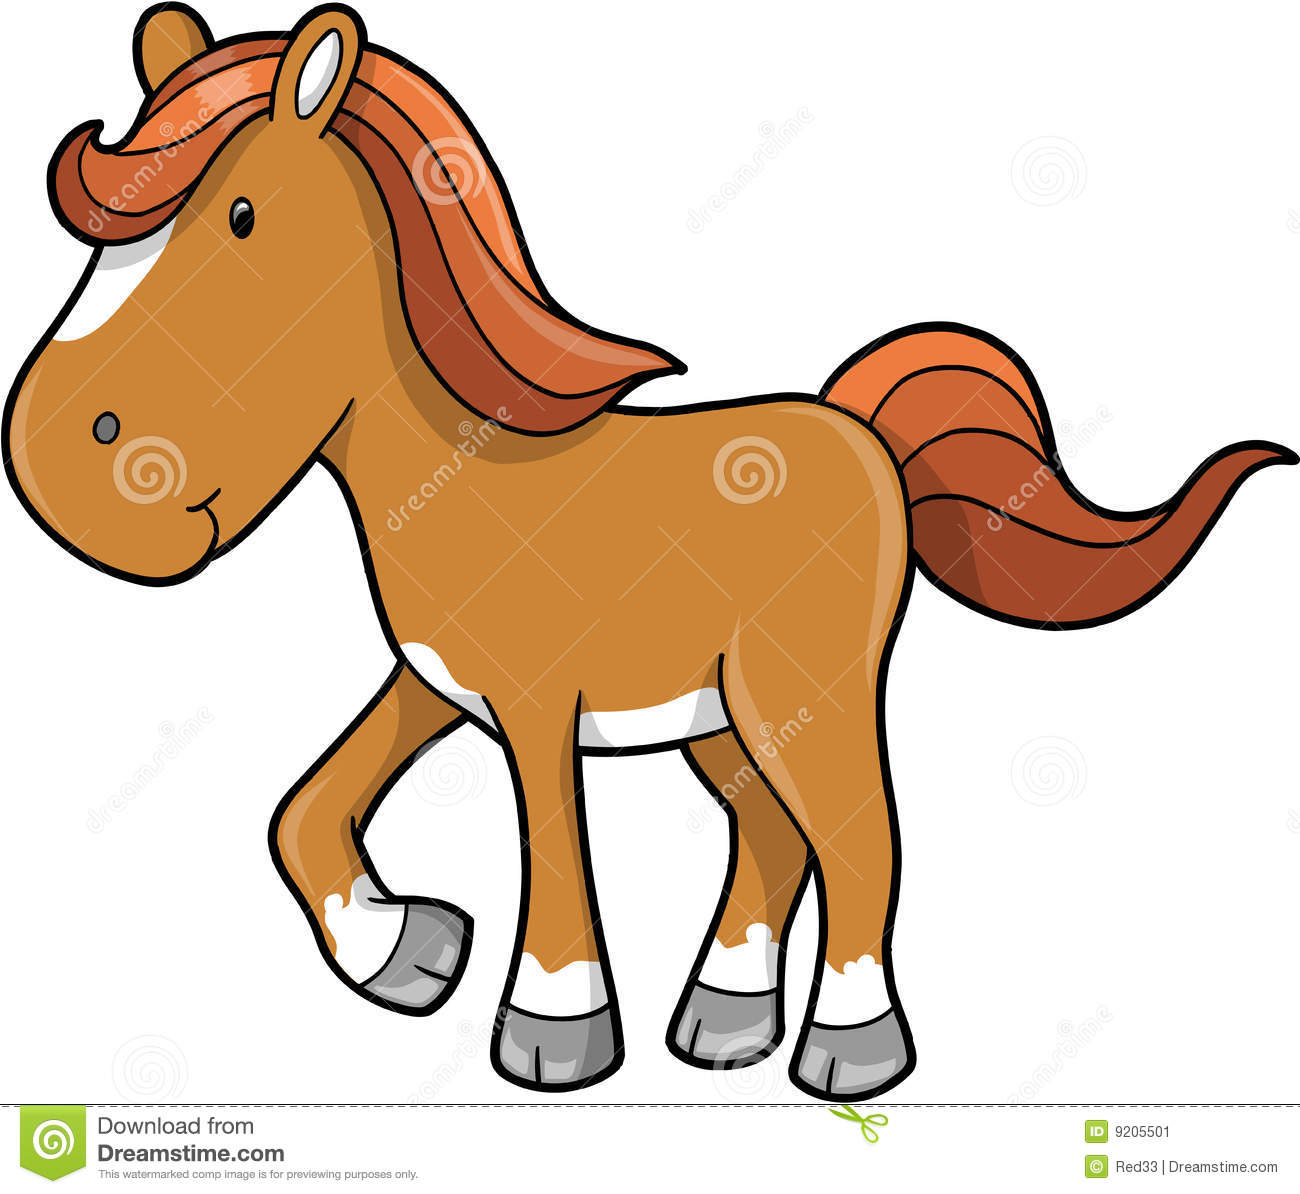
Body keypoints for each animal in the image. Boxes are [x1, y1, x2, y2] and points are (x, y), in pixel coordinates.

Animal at [4, 3, 1292, 1100]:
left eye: (241, 217)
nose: (66, 474)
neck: (460, 470)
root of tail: (861, 431)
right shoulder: (435, 683)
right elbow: (301, 810)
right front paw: (408, 951)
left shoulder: (532, 705)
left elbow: (552, 849)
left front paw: (552, 1036)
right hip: (723, 720)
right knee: (773, 837)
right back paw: (722, 1025)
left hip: (799, 694)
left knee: (860, 838)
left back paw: (848, 1052)